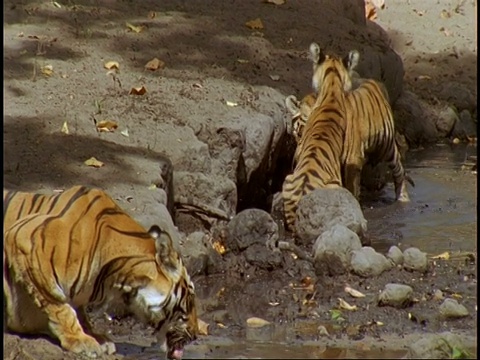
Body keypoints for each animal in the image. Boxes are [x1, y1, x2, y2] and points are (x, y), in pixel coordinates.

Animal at [3, 186, 199, 360]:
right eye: (190, 300)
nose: (196, 334)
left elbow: (78, 310)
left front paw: (96, 337)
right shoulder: (23, 241)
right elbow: (59, 306)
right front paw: (81, 340)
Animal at [284, 48, 412, 205]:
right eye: (298, 134)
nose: (297, 159)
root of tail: (371, 80)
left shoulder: (353, 160)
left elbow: (351, 187)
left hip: (387, 147)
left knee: (399, 168)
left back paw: (403, 198)